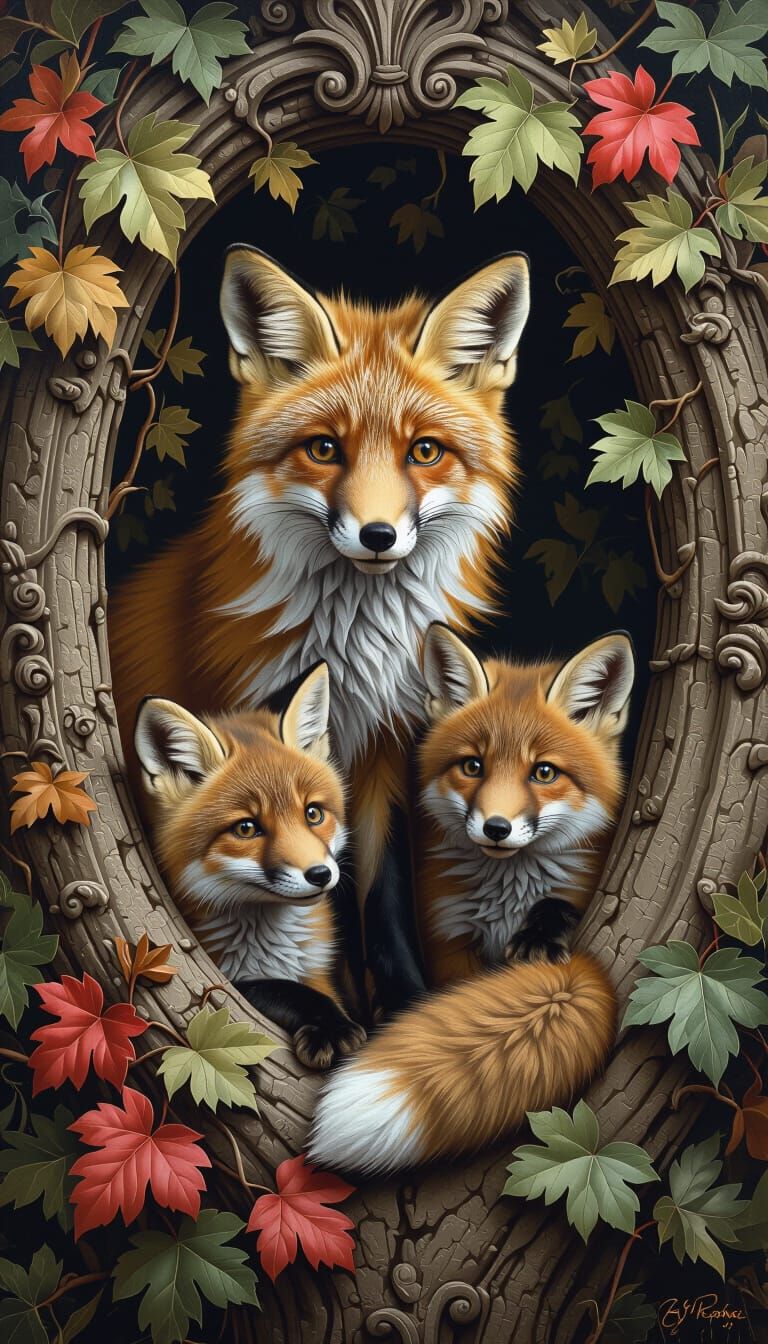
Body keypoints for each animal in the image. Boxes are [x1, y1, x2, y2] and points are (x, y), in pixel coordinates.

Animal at [110, 248, 531, 1013]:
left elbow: (379, 891)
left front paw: (401, 1001)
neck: (352, 649)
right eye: (325, 448)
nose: (377, 535)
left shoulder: (384, 749)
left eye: (425, 451)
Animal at [133, 663, 366, 1070]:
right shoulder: (225, 981)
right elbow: (275, 988)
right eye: (246, 828)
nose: (320, 875)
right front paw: (330, 1026)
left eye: (313, 814)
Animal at [308, 626, 634, 1172]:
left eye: (544, 773)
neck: (505, 895)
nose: (496, 828)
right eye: (473, 766)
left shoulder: (581, 885)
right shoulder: (448, 942)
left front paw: (539, 934)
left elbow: (558, 904)